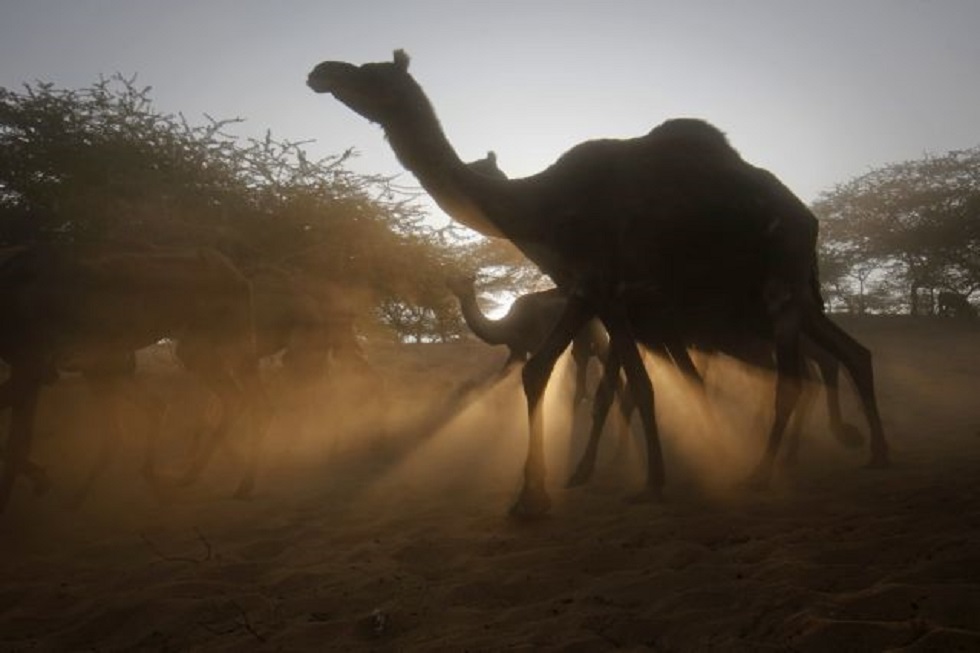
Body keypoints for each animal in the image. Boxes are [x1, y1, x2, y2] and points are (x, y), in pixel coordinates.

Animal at [310, 51, 892, 516]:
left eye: (371, 72)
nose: (322, 72)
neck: (541, 207)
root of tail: (807, 217)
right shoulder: (596, 292)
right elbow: (576, 378)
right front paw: (560, 492)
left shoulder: (604, 287)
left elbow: (611, 383)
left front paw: (609, 486)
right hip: (784, 295)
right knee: (850, 354)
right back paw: (874, 453)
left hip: (780, 279)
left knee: (795, 373)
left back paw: (765, 471)